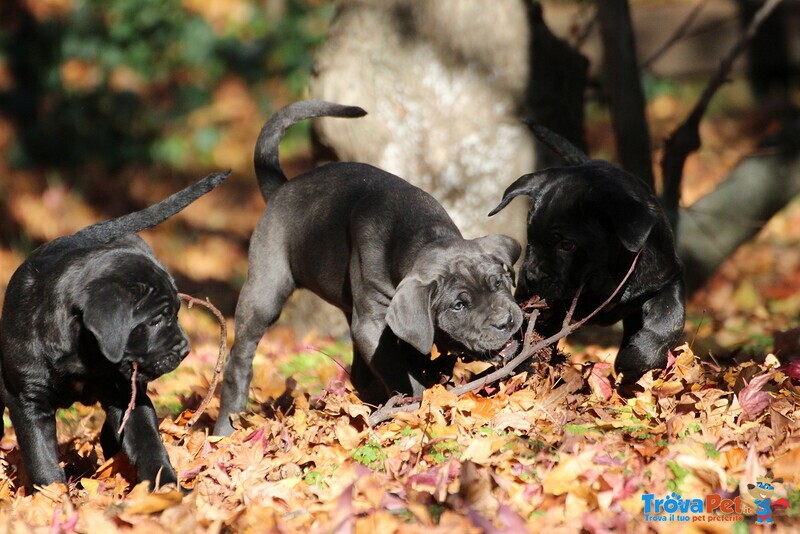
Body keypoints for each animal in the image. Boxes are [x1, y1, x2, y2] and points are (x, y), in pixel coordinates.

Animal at [0, 171, 231, 490]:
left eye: (175, 314)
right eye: (155, 321)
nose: (185, 350)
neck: (83, 357)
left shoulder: (126, 393)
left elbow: (148, 442)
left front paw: (165, 487)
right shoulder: (27, 399)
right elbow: (40, 457)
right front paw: (53, 494)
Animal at [214, 101, 524, 440]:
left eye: (499, 283)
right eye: (458, 305)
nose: (506, 322)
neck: (418, 233)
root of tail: (283, 188)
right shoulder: (373, 324)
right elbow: (401, 374)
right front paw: (416, 406)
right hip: (264, 290)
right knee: (239, 360)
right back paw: (225, 427)